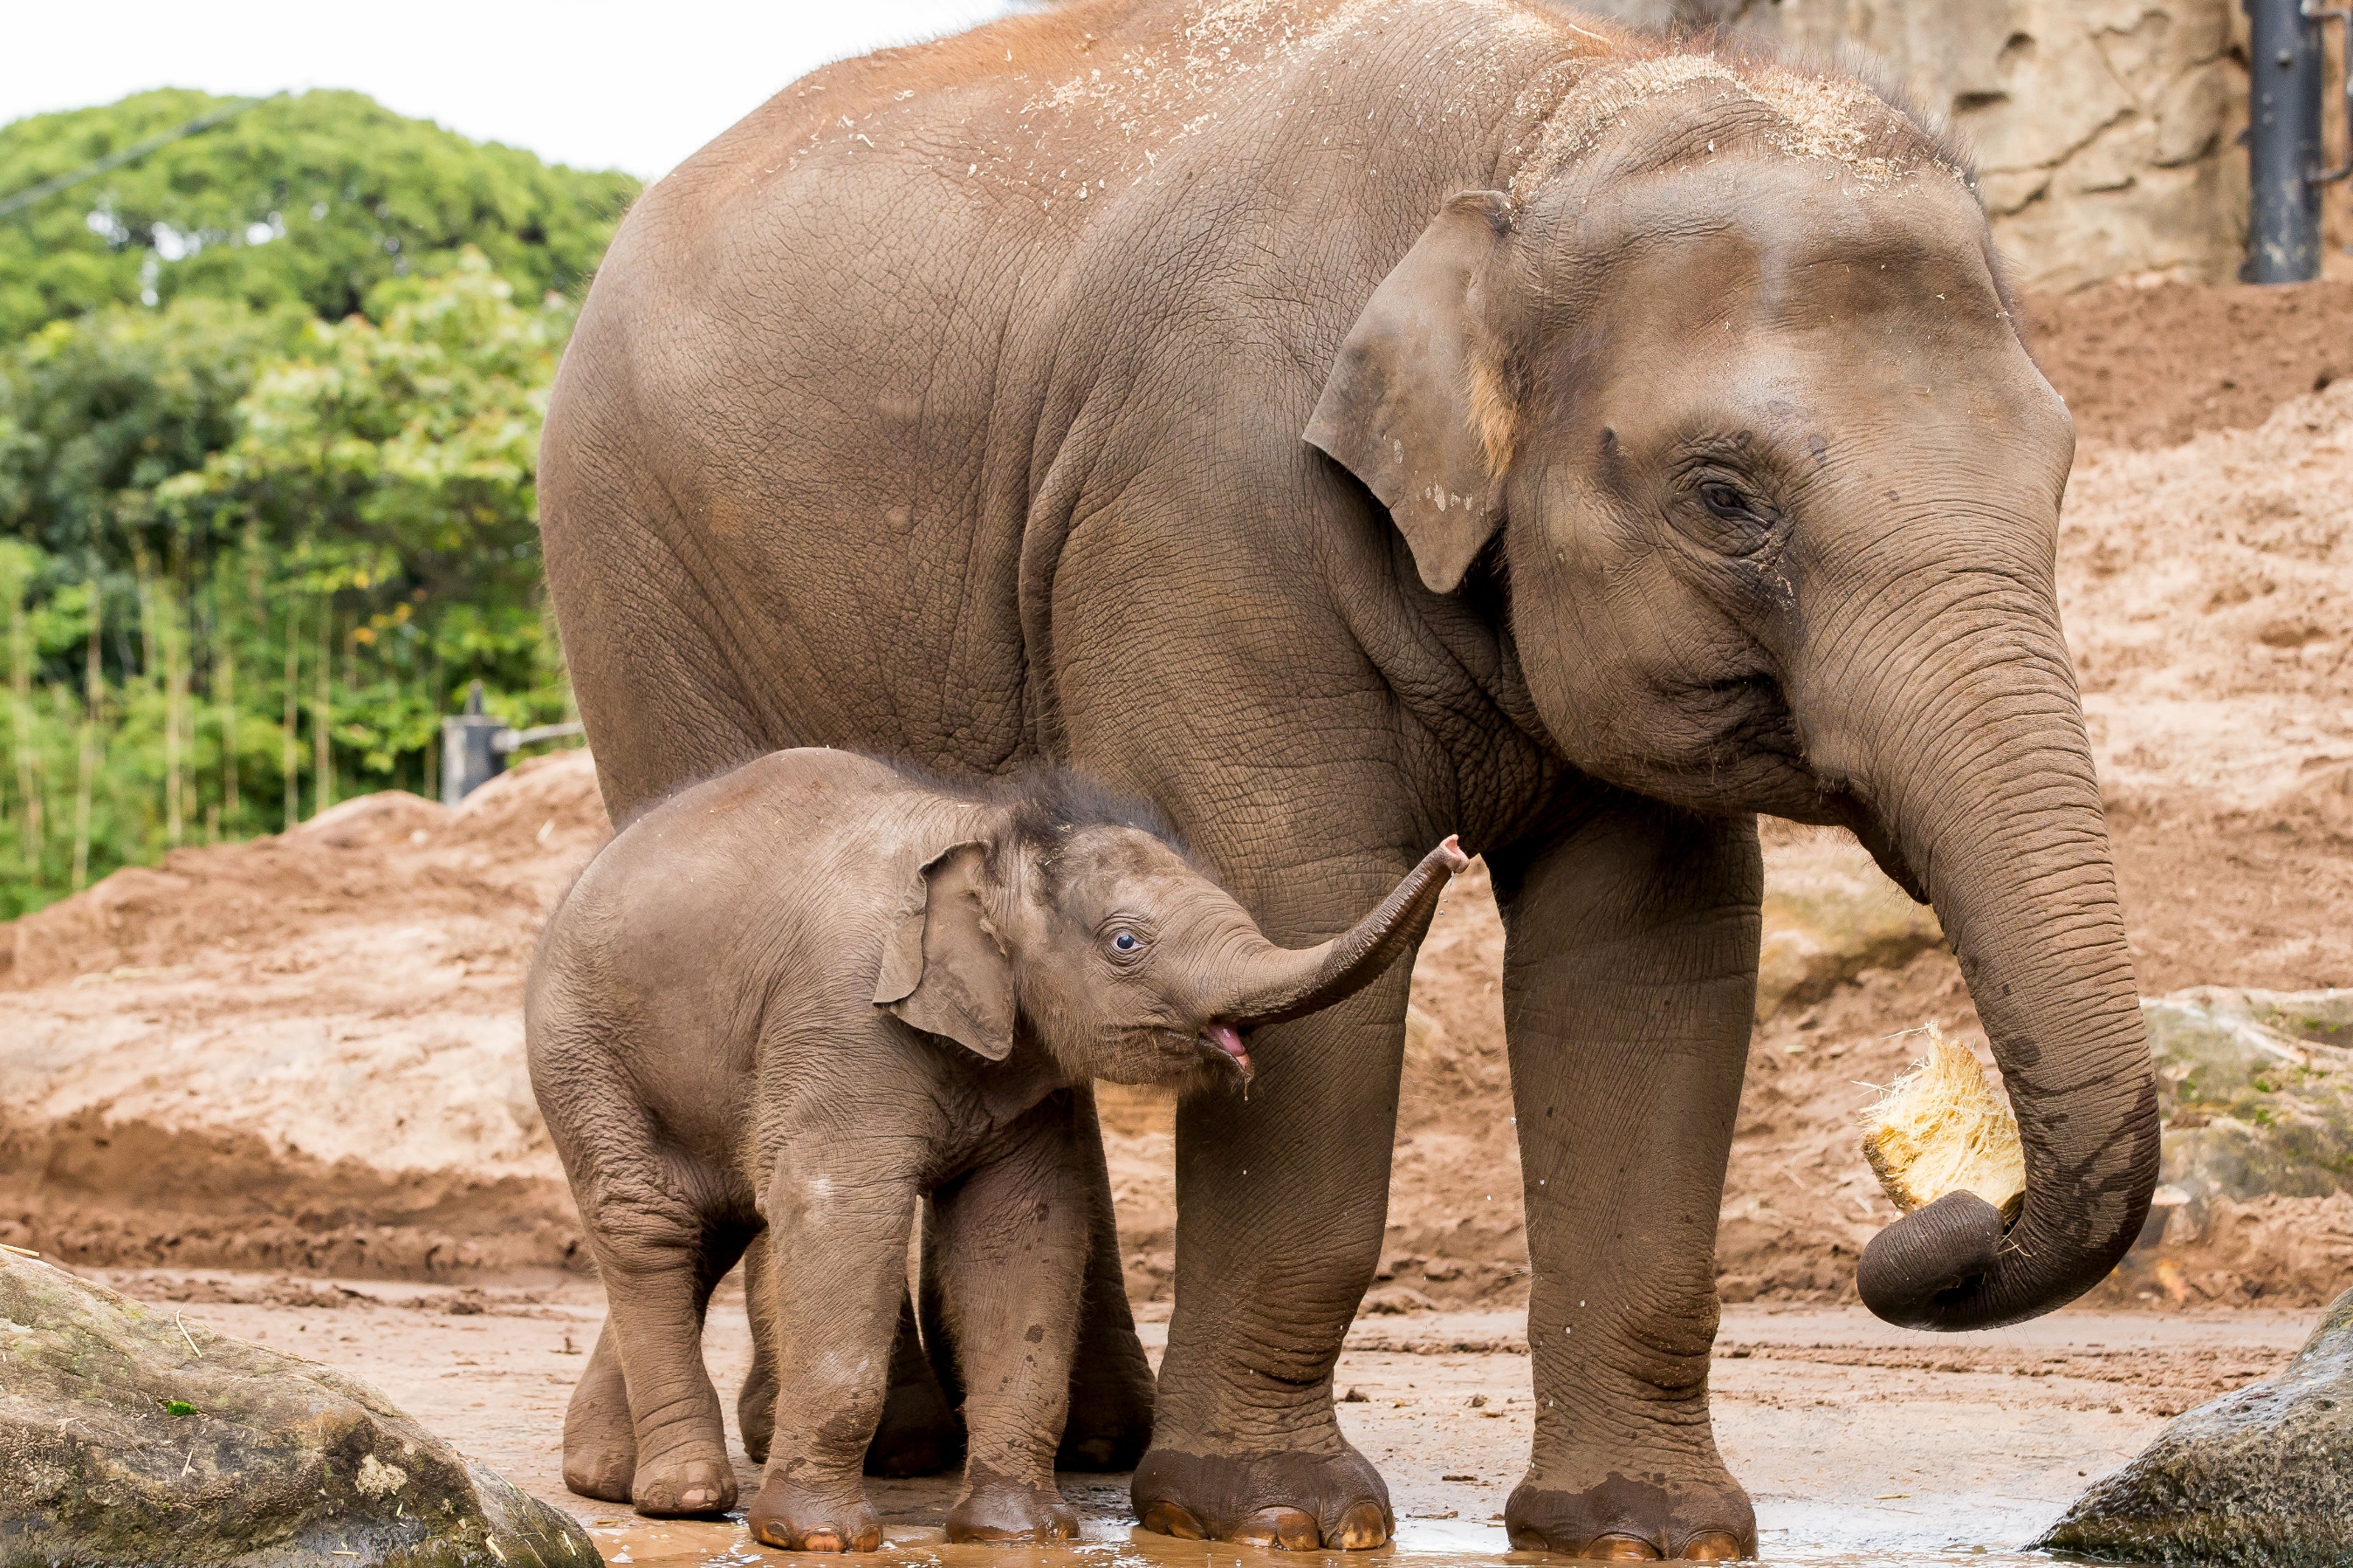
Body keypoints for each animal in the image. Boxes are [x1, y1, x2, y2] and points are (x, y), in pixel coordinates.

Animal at [529, 752, 1468, 1560]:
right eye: (1125, 944)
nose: (1457, 847)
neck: (991, 840)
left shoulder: (1026, 1073)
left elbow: (1018, 1231)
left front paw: (1019, 1534)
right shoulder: (842, 1019)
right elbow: (837, 1209)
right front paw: (818, 1538)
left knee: (710, 1227)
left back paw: (608, 1479)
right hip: (580, 1051)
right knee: (649, 1227)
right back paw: (686, 1497)